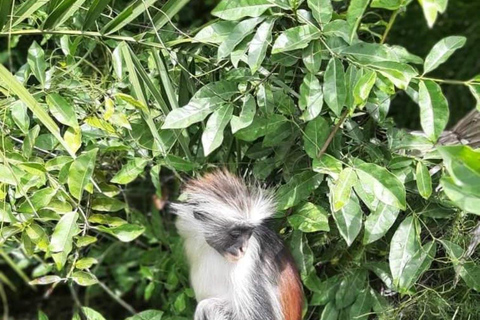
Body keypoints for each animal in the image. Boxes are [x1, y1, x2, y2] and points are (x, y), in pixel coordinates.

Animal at [171, 170, 302, 320]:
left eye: (249, 233)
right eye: (235, 234)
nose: (242, 248)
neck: (211, 249)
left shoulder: (249, 260)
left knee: (207, 306)